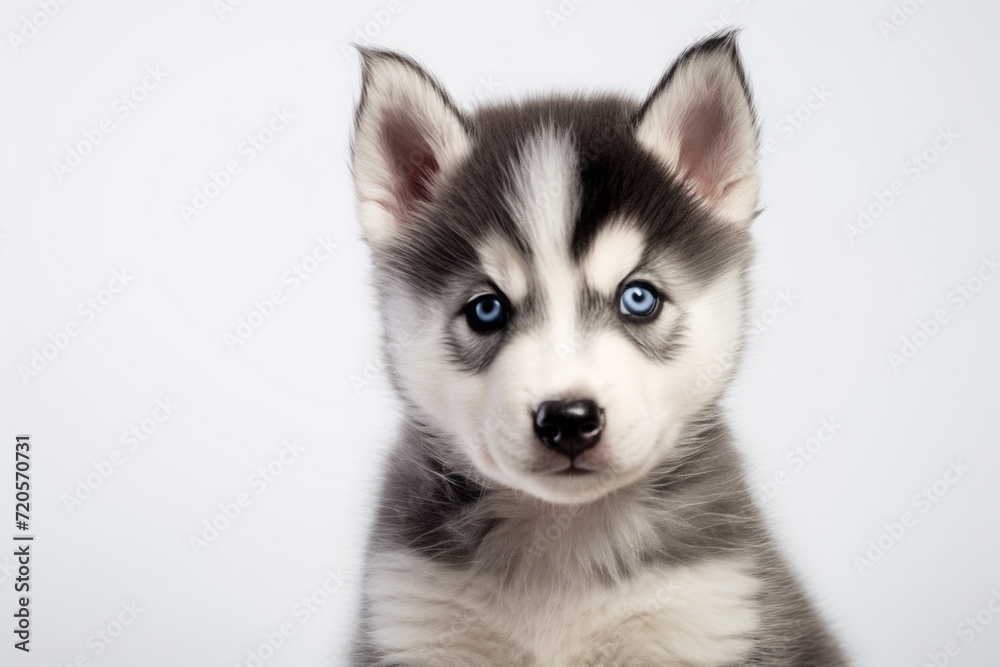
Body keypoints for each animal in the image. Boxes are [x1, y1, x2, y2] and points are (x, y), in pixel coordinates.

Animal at [348, 31, 848, 667]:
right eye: (487, 309)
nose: (567, 419)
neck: (563, 533)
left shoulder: (708, 612)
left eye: (638, 298)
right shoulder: (412, 618)